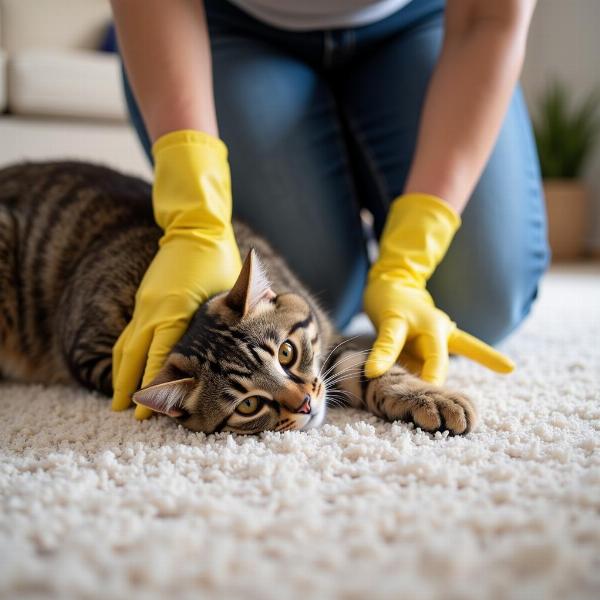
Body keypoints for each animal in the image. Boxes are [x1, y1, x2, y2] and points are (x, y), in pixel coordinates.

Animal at [0, 162, 478, 434]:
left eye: (286, 353)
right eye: (249, 405)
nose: (305, 404)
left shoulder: (327, 347)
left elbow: (372, 368)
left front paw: (432, 397)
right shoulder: (92, 355)